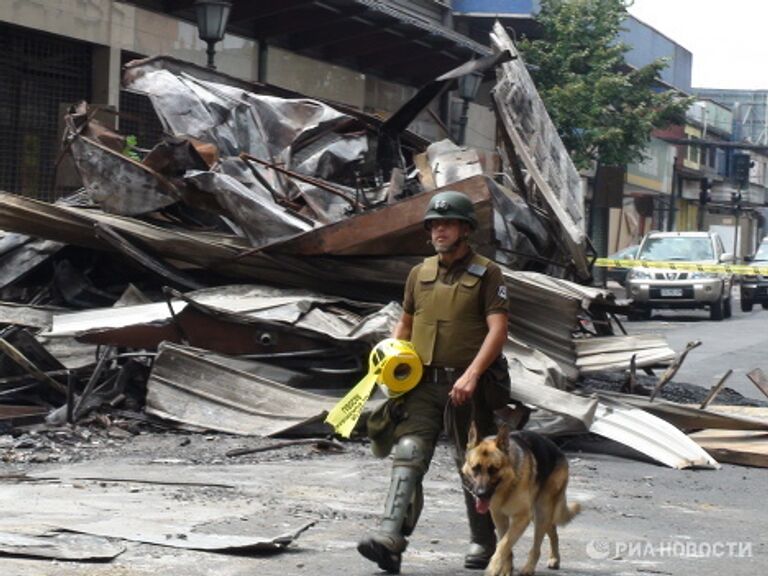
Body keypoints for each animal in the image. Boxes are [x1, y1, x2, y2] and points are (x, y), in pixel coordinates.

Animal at [462, 424, 584, 576]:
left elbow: (504, 544)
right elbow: (505, 543)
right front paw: (506, 569)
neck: (507, 486)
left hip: (541, 511)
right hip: (537, 515)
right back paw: (554, 558)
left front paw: (494, 568)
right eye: (475, 468)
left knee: (537, 546)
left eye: (493, 470)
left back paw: (529, 568)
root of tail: (558, 450)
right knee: (553, 530)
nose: (480, 494)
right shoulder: (499, 517)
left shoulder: (522, 517)